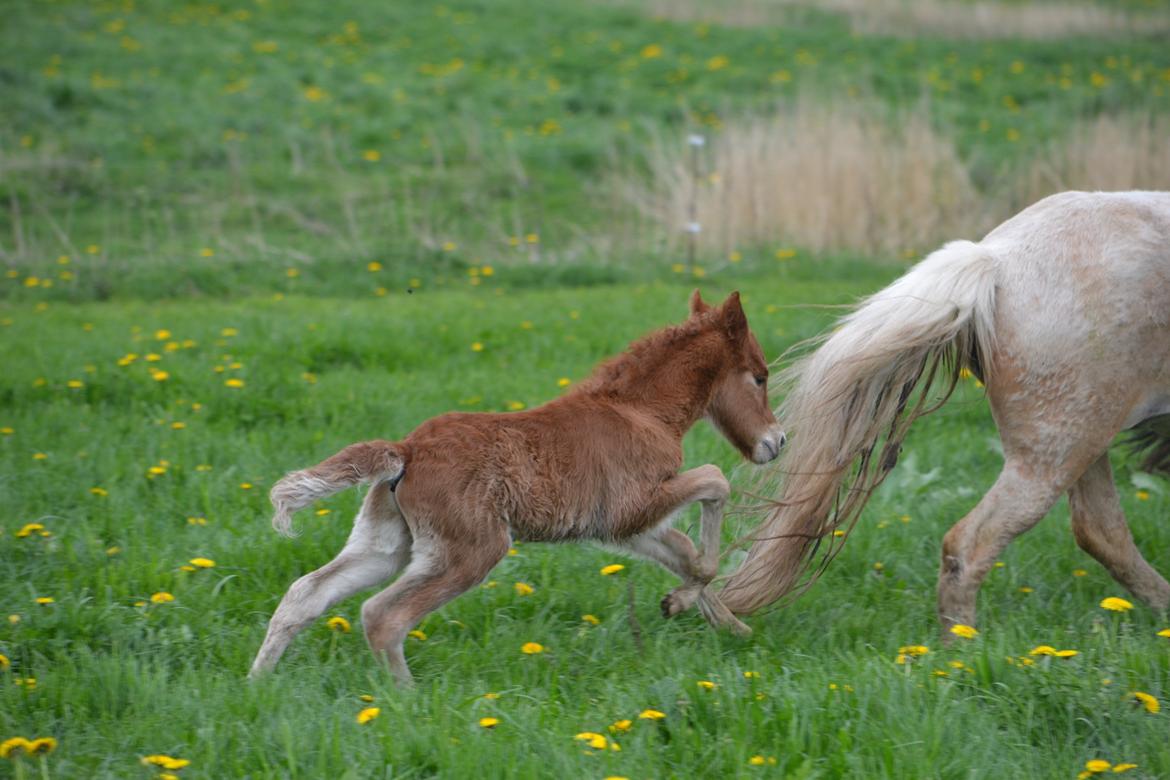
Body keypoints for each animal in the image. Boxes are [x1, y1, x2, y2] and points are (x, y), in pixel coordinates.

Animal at [248, 291, 781, 682]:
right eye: (759, 376)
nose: (777, 442)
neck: (639, 411)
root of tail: (407, 449)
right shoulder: (636, 504)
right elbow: (714, 485)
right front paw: (699, 607)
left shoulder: (625, 527)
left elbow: (686, 555)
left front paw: (725, 625)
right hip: (472, 549)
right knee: (382, 616)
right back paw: (407, 703)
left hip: (386, 544)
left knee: (307, 593)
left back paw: (258, 684)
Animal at [720, 190, 1170, 636]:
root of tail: (996, 258)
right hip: (1058, 449)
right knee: (972, 545)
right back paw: (963, 647)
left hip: (1084, 437)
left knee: (1101, 531)